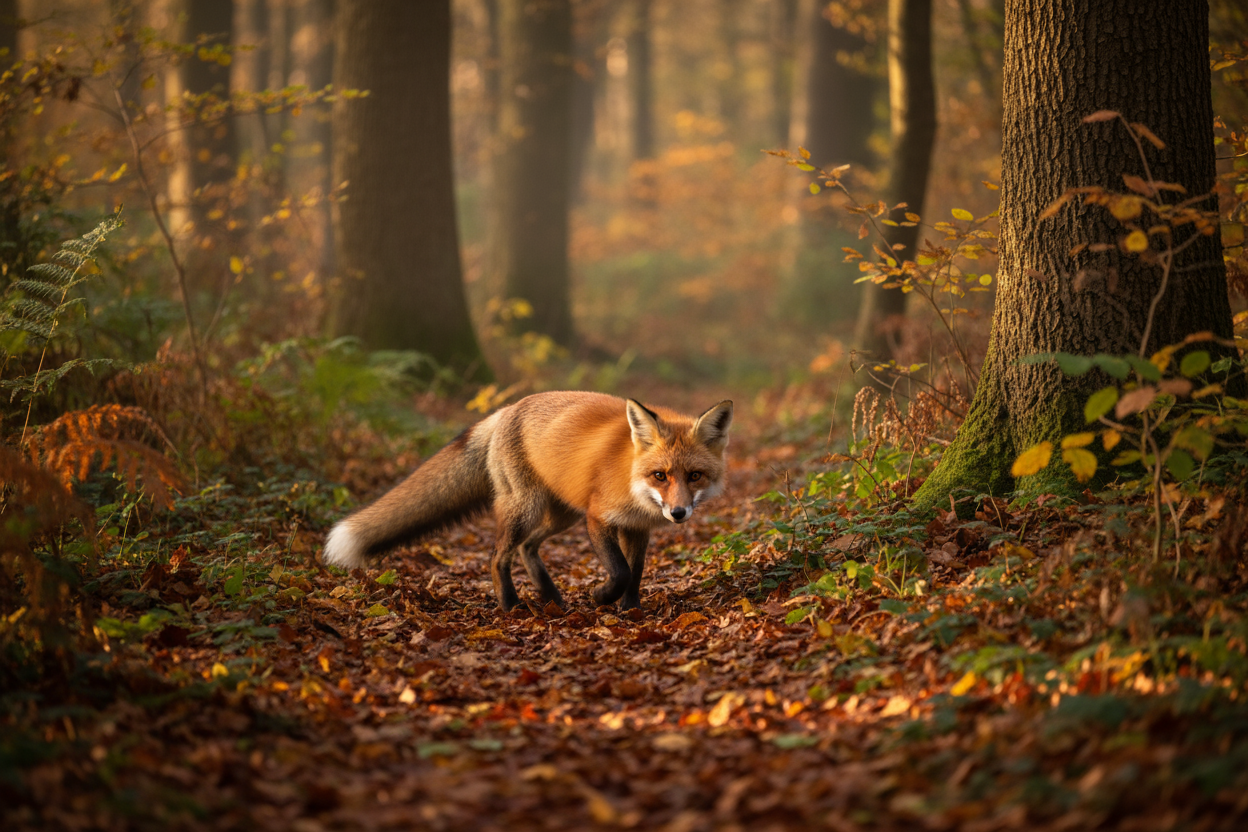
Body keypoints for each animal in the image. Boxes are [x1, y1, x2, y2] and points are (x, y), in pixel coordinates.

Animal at [322, 391, 733, 611]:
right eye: (660, 475)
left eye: (694, 476)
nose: (678, 513)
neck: (630, 475)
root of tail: (506, 409)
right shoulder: (598, 518)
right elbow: (619, 571)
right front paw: (602, 596)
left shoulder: (636, 527)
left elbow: (635, 572)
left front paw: (630, 610)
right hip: (528, 508)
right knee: (498, 555)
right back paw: (510, 604)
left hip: (561, 515)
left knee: (527, 548)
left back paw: (551, 596)